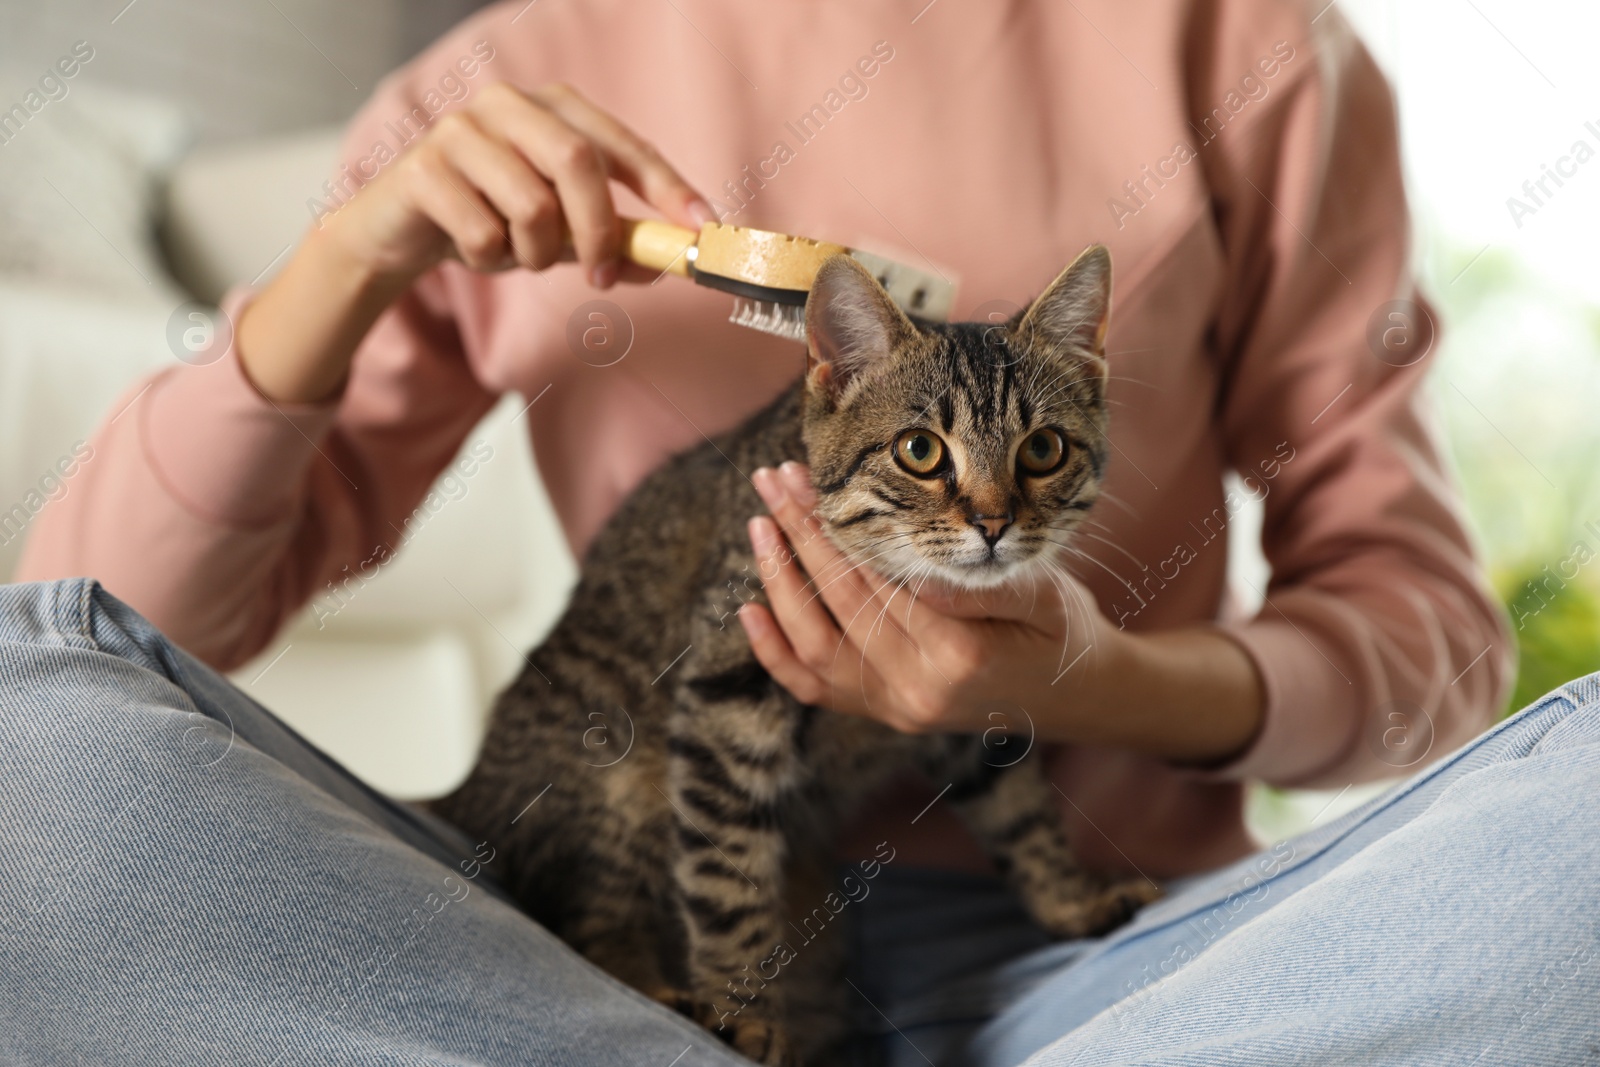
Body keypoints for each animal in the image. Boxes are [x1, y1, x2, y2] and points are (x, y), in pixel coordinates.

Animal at [435, 246, 1164, 1062]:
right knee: (593, 916)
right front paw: (741, 1009)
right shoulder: (728, 685)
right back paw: (656, 985)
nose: (994, 522)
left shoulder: (972, 713)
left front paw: (1071, 899)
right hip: (614, 770)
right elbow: (727, 873)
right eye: (920, 451)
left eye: (1042, 449)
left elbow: (1021, 810)